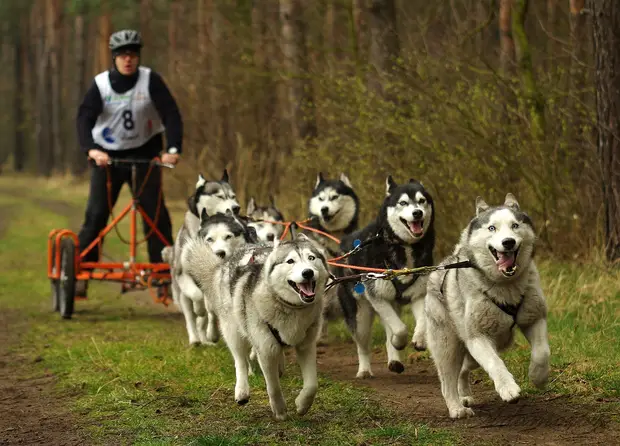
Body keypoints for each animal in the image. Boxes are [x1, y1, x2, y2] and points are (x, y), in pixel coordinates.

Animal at [166, 209, 256, 344]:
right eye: (209, 239)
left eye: (228, 236)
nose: (220, 253)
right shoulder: (184, 275)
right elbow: (197, 295)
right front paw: (199, 309)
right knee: (191, 314)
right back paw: (195, 338)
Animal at [183, 233, 332, 422]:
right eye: (290, 261)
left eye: (311, 258)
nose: (308, 272)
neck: (290, 307)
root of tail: (227, 261)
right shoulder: (266, 349)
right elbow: (273, 386)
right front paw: (280, 411)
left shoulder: (306, 345)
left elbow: (312, 384)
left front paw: (302, 405)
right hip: (233, 329)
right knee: (240, 360)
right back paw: (242, 390)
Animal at [336, 176, 434, 378]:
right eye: (403, 202)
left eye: (422, 201)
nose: (418, 213)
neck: (404, 247)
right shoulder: (378, 297)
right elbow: (401, 329)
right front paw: (399, 342)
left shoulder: (418, 294)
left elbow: (420, 321)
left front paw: (419, 340)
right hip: (361, 315)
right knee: (363, 345)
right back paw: (364, 370)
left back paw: (395, 360)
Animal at [426, 194, 548, 418]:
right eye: (492, 228)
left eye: (515, 225)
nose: (508, 242)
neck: (505, 286)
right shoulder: (477, 337)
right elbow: (495, 363)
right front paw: (508, 388)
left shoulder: (534, 318)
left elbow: (542, 352)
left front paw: (538, 376)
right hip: (448, 345)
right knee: (447, 380)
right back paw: (456, 407)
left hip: (478, 350)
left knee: (463, 369)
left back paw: (464, 394)